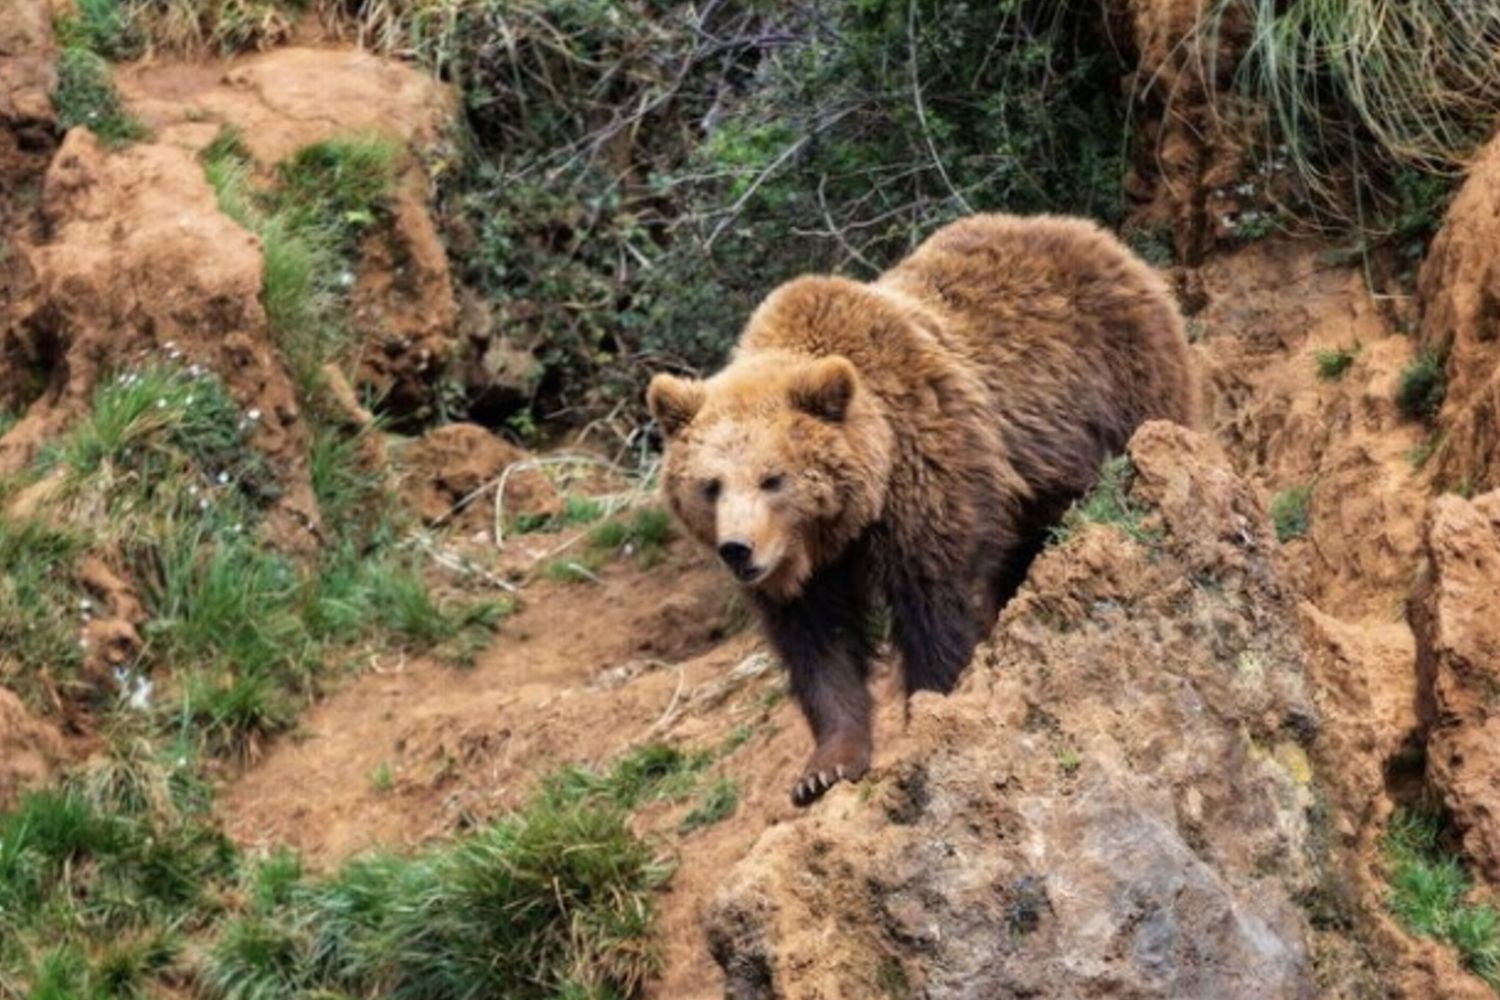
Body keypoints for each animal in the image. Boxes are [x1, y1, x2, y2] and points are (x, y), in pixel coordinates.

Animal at [648, 213, 1196, 806]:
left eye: (773, 479)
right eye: (710, 486)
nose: (738, 550)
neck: (849, 517)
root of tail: (1101, 237)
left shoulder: (926, 474)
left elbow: (933, 605)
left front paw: (933, 712)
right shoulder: (806, 571)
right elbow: (819, 644)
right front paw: (824, 767)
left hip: (1121, 392)